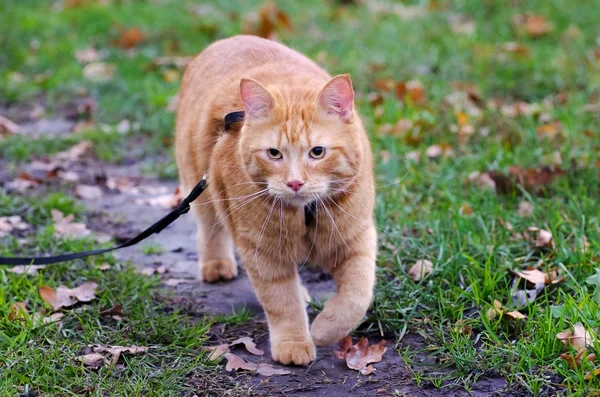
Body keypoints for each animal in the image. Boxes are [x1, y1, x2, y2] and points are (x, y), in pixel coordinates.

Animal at [176, 35, 378, 364]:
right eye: (274, 154)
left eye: (317, 152)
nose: (294, 182)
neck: (306, 212)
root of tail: (230, 38)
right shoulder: (263, 251)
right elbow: (281, 302)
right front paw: (294, 343)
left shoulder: (356, 239)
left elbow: (355, 297)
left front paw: (323, 330)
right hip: (202, 189)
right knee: (210, 229)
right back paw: (217, 265)